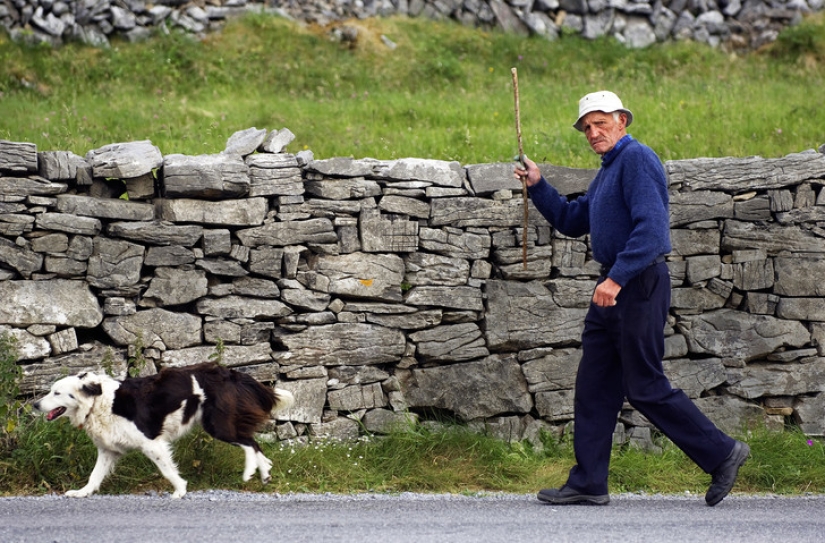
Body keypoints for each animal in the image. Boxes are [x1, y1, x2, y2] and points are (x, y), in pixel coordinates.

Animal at [33, 364, 296, 500]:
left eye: (56, 393)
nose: (35, 405)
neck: (98, 402)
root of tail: (230, 372)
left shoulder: (151, 443)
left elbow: (167, 470)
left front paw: (180, 490)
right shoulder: (108, 451)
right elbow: (94, 476)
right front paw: (82, 492)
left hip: (218, 425)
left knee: (249, 443)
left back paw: (251, 471)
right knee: (254, 443)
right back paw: (264, 472)